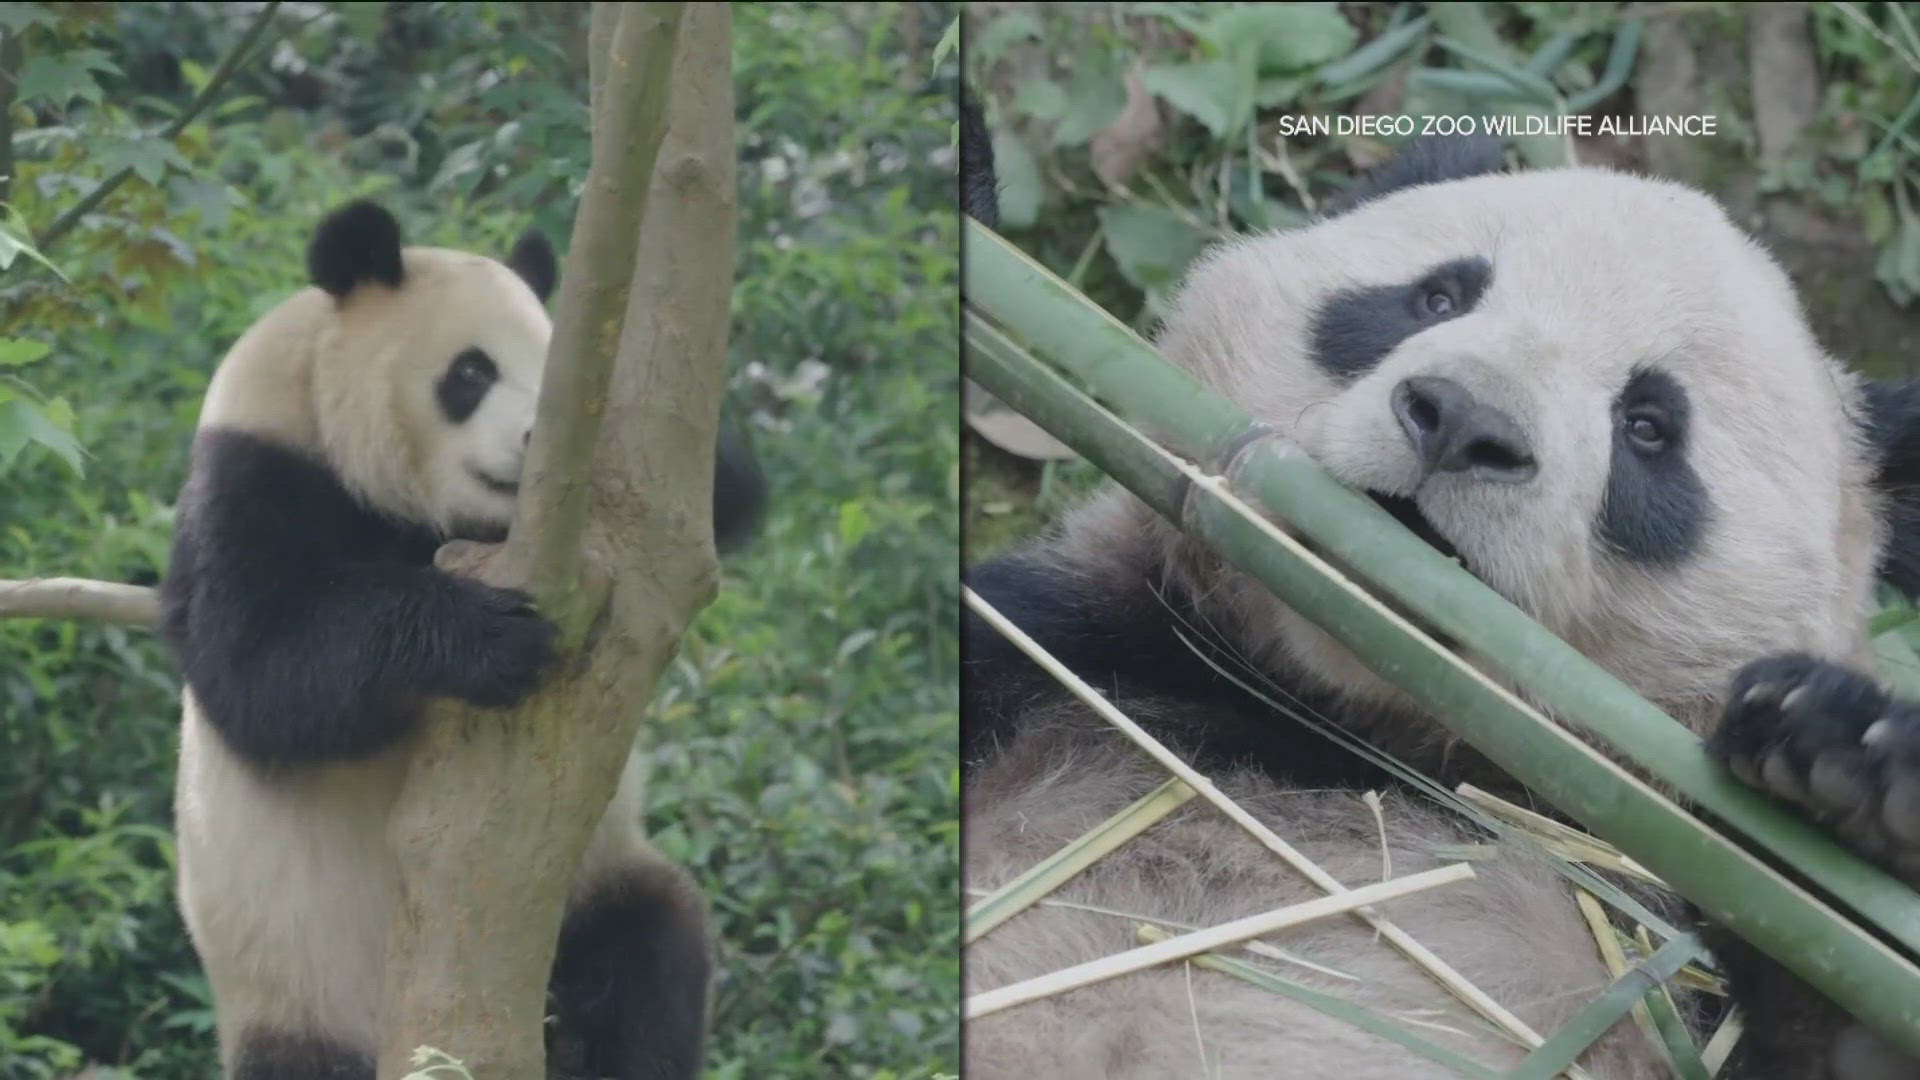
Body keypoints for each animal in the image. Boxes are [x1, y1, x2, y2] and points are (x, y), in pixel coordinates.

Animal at [157, 201, 768, 1076]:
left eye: (562, 375)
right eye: (471, 373)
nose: (537, 443)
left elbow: (711, 500)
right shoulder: (256, 476)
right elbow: (261, 668)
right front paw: (486, 637)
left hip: (597, 880)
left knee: (650, 945)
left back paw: (582, 1034)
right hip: (297, 999)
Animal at [967, 122, 1920, 1068]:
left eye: (1649, 426)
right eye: (1436, 298)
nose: (1461, 419)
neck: (1349, 728)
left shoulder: (1662, 895)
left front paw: (1840, 773)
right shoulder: (1091, 649)